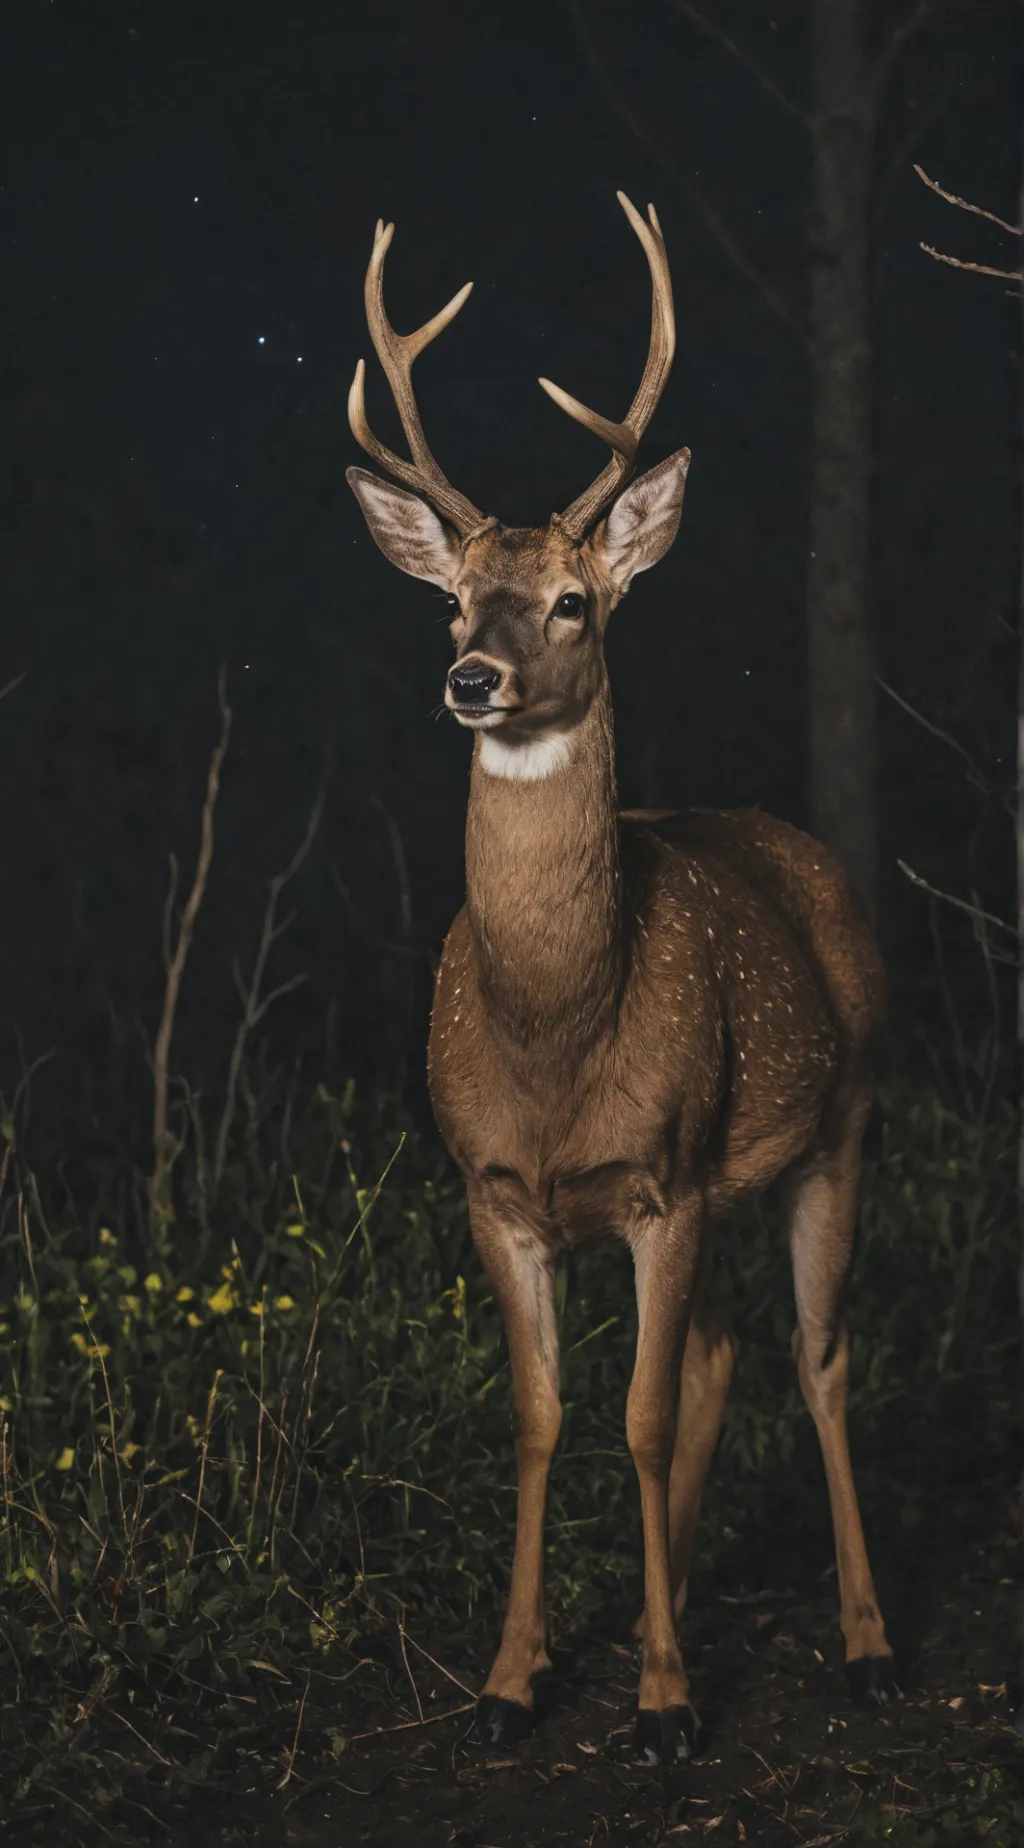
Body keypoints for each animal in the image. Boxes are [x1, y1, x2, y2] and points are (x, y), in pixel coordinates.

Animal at [346, 193, 896, 1765]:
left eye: (574, 604)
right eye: (454, 603)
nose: (470, 678)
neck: (556, 1045)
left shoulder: (666, 1174)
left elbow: (639, 1420)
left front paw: (662, 1703)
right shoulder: (495, 1191)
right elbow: (543, 1419)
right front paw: (511, 1682)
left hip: (835, 1124)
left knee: (821, 1357)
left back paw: (863, 1643)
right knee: (718, 1353)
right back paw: (691, 1596)